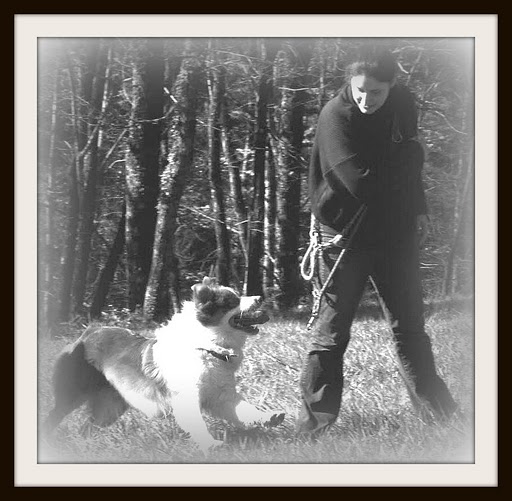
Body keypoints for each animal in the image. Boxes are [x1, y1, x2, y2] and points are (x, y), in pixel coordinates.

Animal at [43, 277, 285, 453]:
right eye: (232, 301)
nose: (260, 296)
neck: (206, 346)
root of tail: (87, 333)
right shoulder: (187, 399)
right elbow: (199, 424)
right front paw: (211, 444)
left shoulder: (221, 395)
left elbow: (245, 409)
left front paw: (269, 417)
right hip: (72, 396)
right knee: (52, 419)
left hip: (110, 406)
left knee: (86, 428)